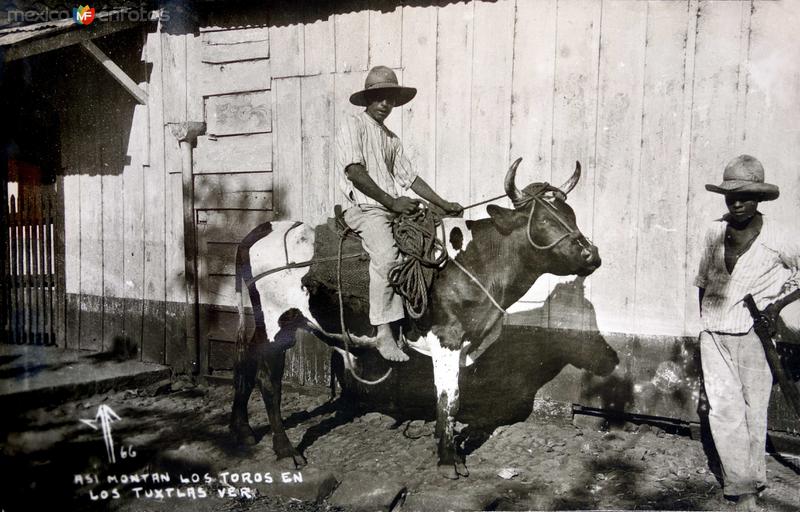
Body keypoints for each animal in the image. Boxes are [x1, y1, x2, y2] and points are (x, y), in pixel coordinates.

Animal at [230, 158, 600, 478]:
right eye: (544, 220)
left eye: (572, 215)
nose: (591, 255)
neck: (475, 261)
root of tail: (263, 229)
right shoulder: (448, 339)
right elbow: (450, 398)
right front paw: (449, 460)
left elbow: (448, 400)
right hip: (278, 323)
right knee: (268, 379)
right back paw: (285, 450)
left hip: (263, 322)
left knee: (243, 361)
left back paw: (242, 431)